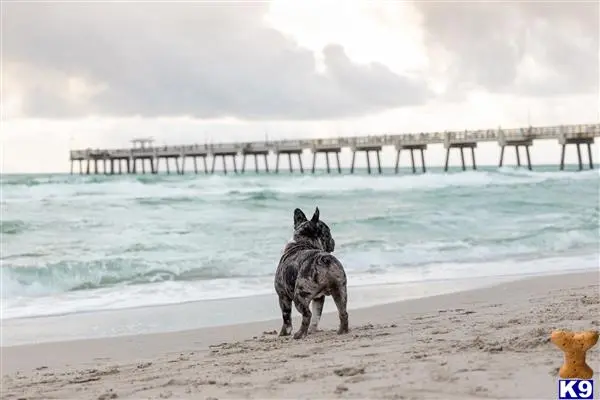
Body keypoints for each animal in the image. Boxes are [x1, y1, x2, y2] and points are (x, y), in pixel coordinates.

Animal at [274, 208, 350, 340]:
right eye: (328, 233)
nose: (333, 240)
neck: (303, 241)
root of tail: (324, 259)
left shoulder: (283, 296)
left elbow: (286, 317)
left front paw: (284, 333)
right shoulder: (319, 298)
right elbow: (317, 315)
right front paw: (312, 330)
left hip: (299, 295)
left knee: (307, 314)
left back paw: (299, 334)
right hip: (340, 291)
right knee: (343, 312)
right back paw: (342, 331)